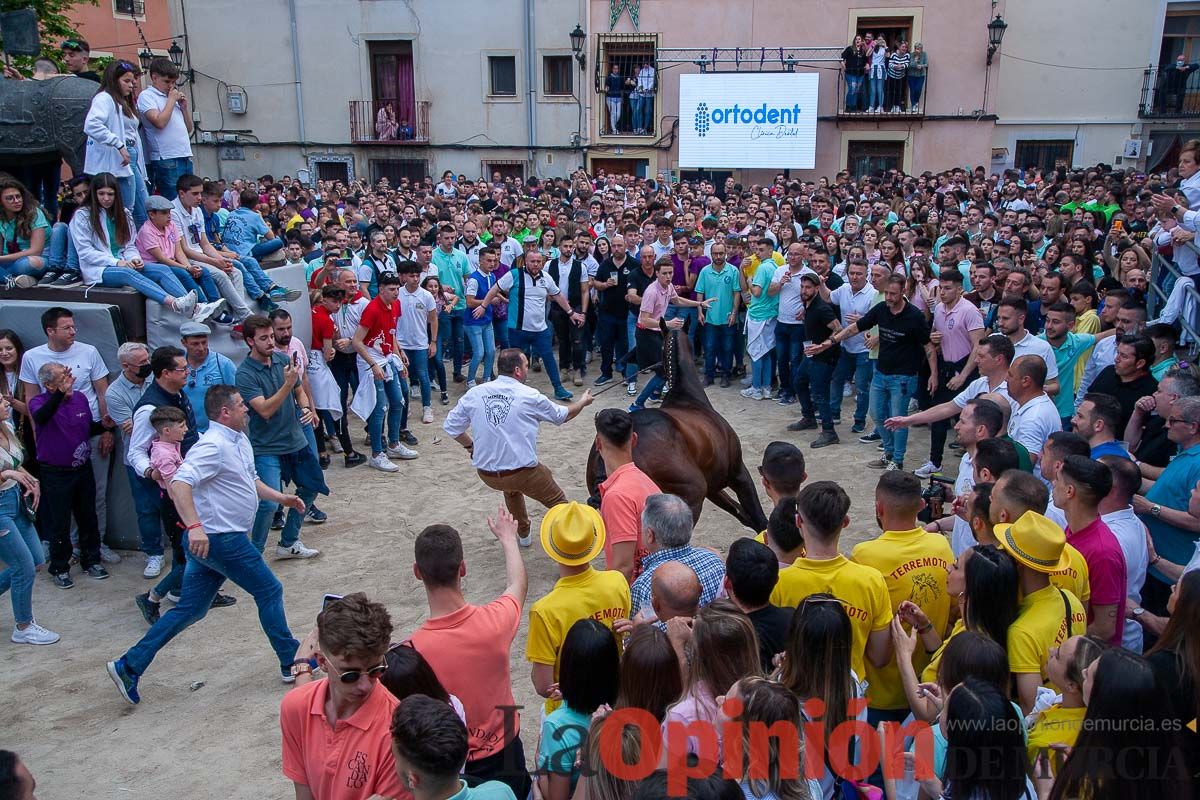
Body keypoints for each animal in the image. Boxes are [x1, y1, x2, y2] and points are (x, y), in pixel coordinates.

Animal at [585, 319, 763, 532]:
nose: (624, 359)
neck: (688, 396)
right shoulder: (739, 474)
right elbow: (759, 517)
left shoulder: (714, 489)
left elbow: (743, 514)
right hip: (690, 496)